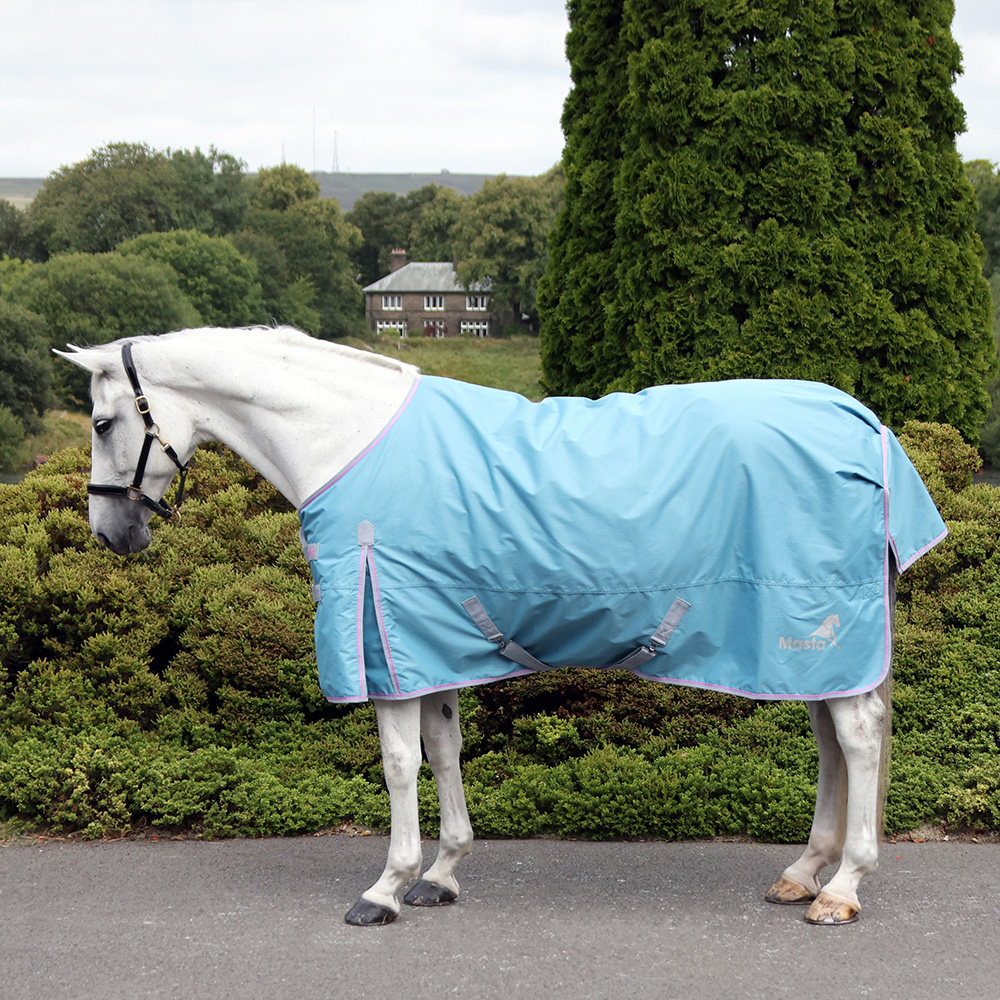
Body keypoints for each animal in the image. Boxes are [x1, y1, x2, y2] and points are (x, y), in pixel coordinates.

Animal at [56, 325, 947, 927]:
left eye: (101, 424)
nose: (111, 534)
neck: (343, 440)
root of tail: (860, 419)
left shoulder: (385, 638)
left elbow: (399, 766)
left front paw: (385, 888)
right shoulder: (430, 643)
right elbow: (445, 752)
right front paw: (442, 875)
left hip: (819, 631)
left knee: (856, 740)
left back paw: (841, 889)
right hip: (813, 653)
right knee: (832, 743)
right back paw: (803, 872)